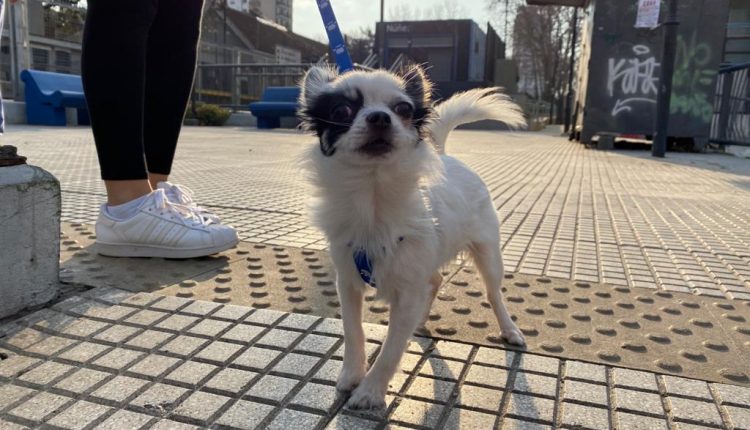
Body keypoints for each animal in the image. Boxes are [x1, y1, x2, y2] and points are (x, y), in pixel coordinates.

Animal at [298, 65, 527, 409]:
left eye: (403, 110)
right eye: (341, 111)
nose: (380, 117)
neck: (374, 197)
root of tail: (447, 156)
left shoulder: (406, 290)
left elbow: (392, 348)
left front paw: (370, 391)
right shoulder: (348, 281)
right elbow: (353, 331)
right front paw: (351, 375)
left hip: (488, 254)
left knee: (493, 293)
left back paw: (509, 329)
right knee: (434, 280)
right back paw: (420, 321)